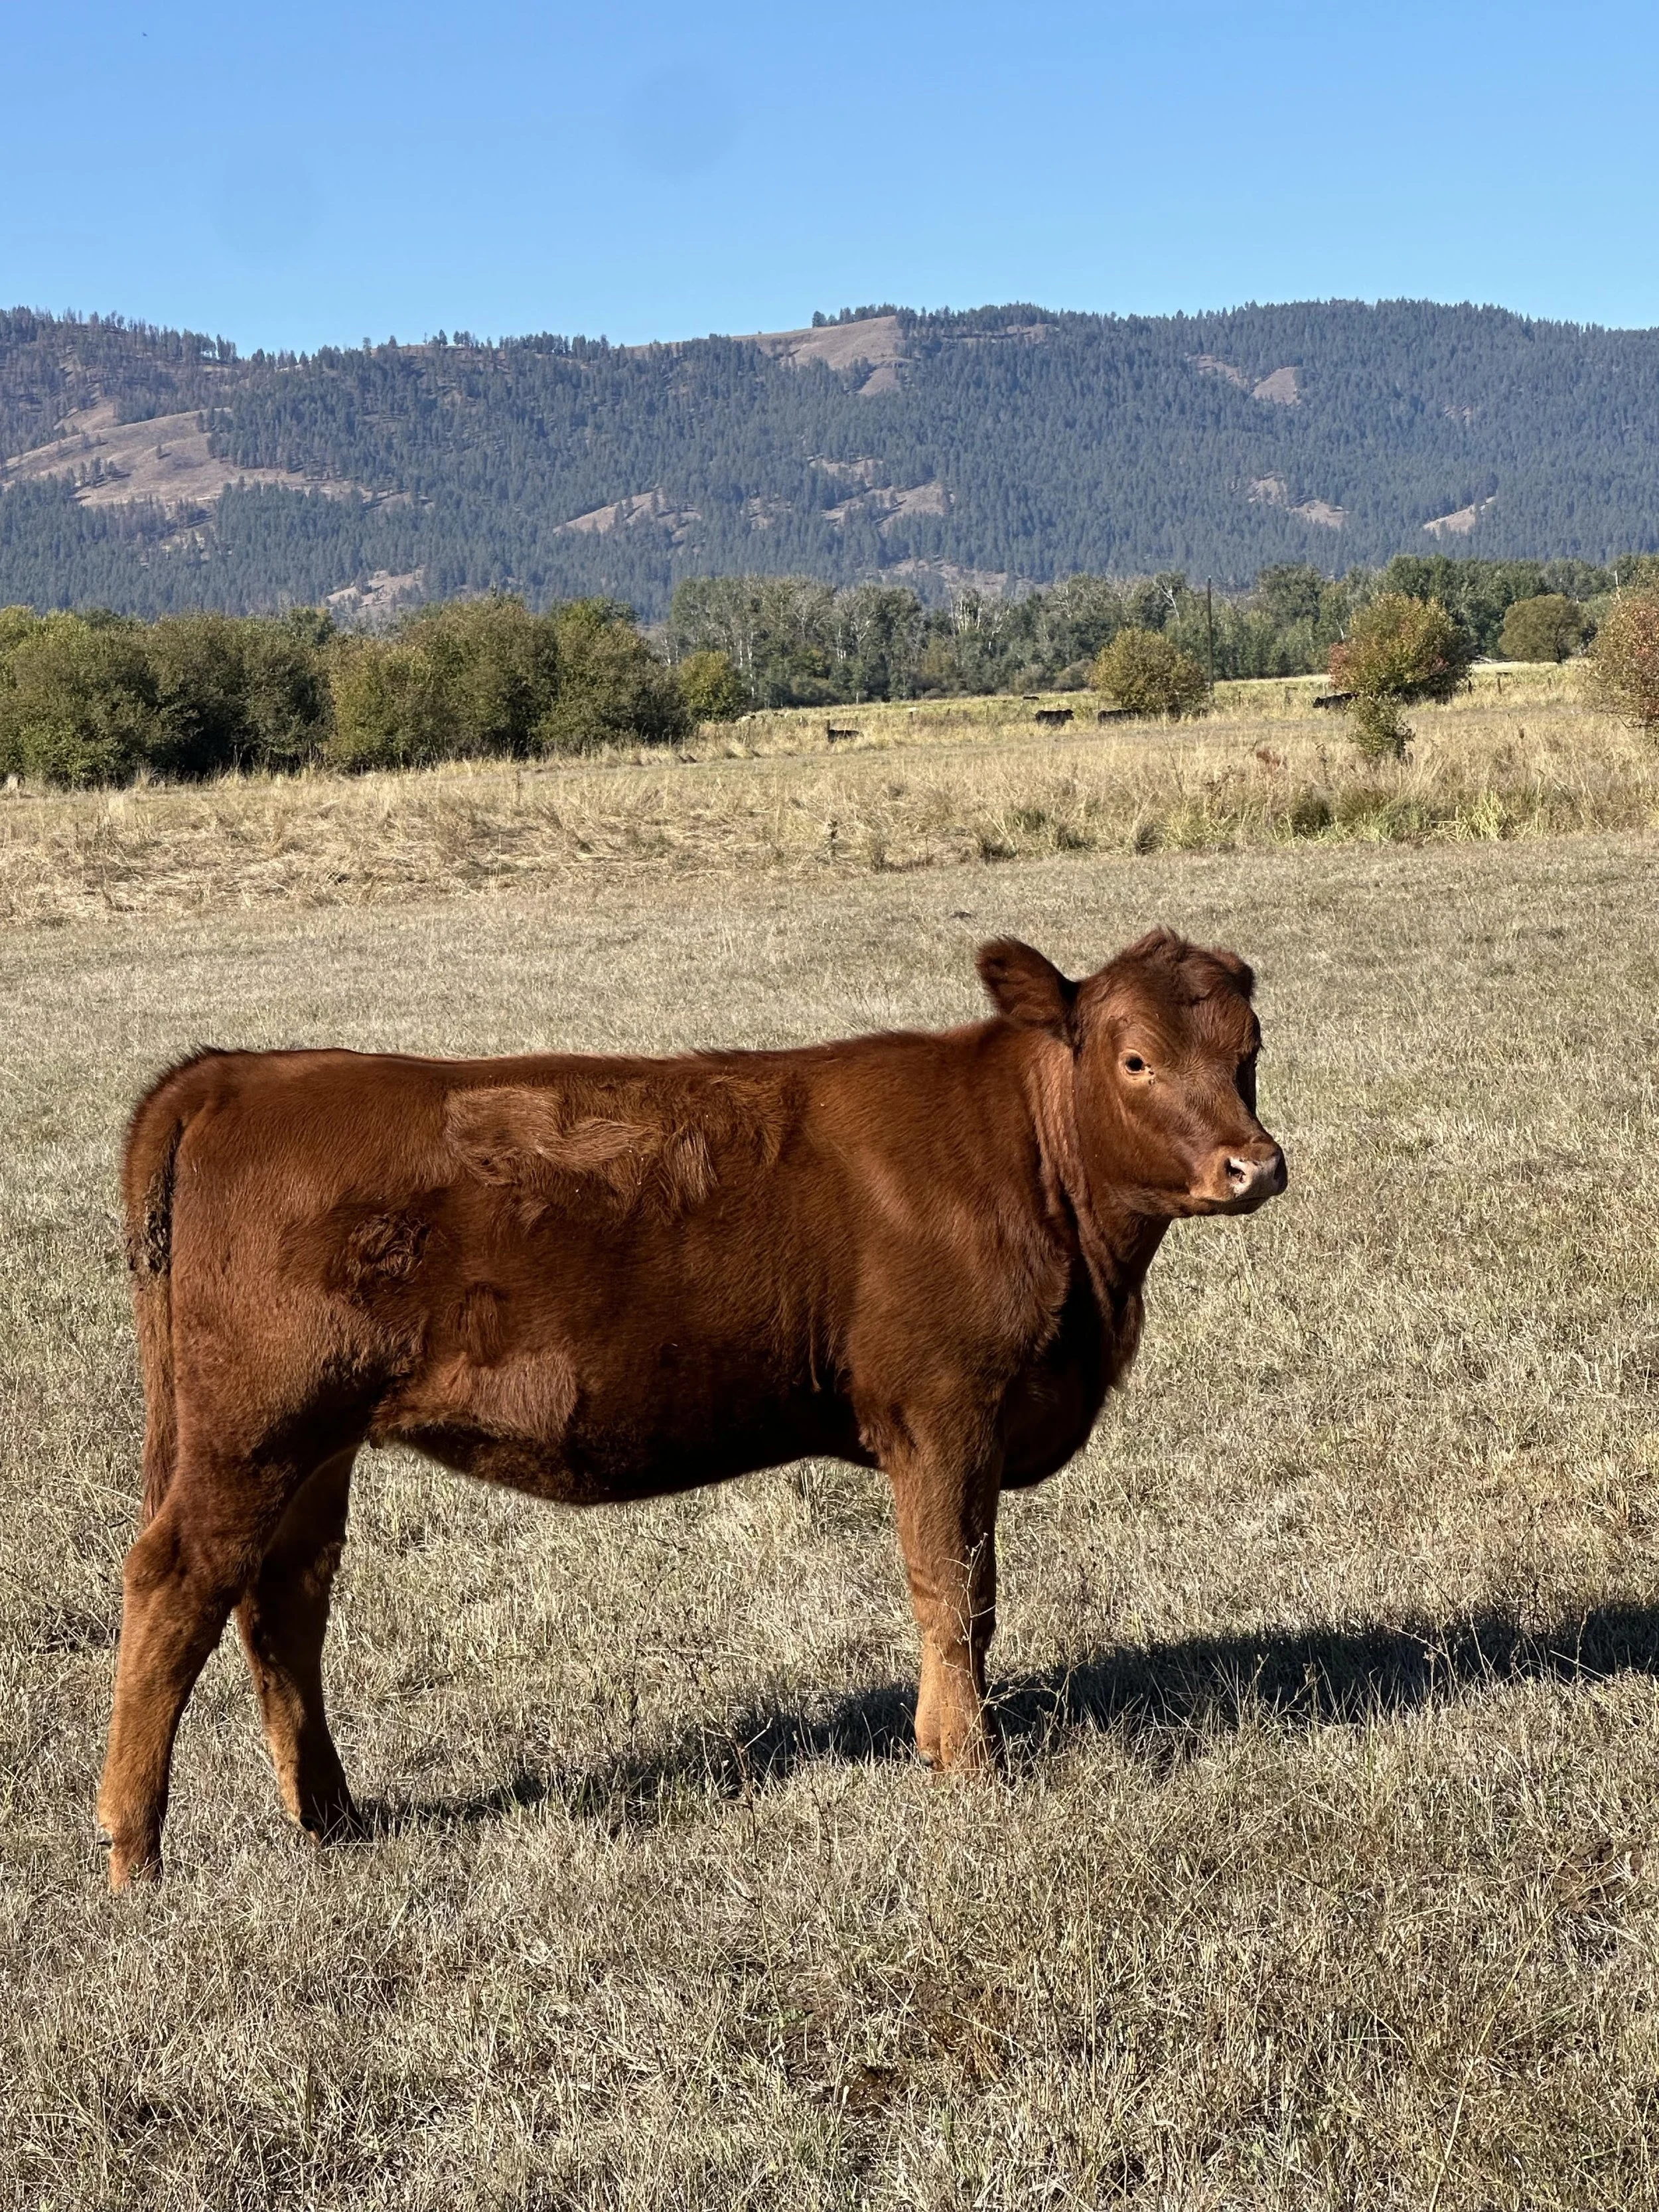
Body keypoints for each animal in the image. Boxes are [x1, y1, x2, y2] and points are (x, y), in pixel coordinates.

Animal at [97, 927, 1286, 1889]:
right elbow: (953, 1594)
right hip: (253, 1428)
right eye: (1135, 1059)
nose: (1254, 1166)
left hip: (313, 1442)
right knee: (177, 1581)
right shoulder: (946, 1411)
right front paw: (970, 1764)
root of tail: (235, 1072)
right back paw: (134, 1848)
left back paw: (332, 1815)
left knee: (284, 1599)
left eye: (1250, 1048)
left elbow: (965, 1597)